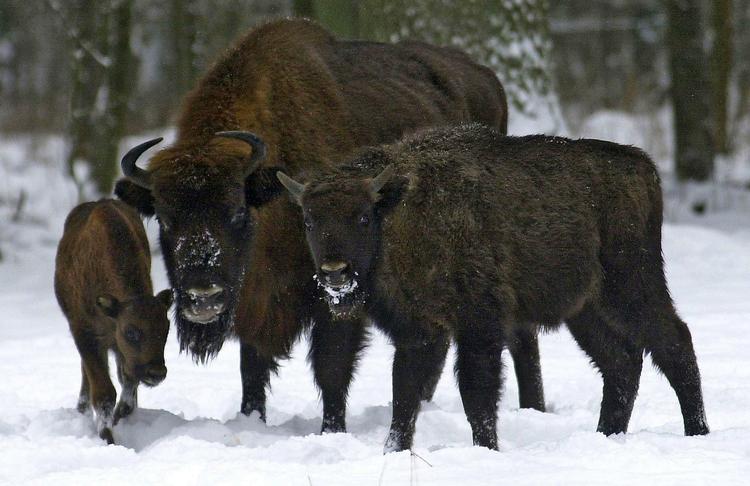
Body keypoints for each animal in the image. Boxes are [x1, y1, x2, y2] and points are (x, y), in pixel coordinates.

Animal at [277, 123, 709, 451]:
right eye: (310, 221)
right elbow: (405, 395)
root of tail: (642, 167)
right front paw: (394, 452)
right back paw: (606, 436)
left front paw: (486, 449)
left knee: (674, 342)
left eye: (363, 218)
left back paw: (697, 433)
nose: (334, 273)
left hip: (632, 285)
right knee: (621, 361)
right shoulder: (418, 332)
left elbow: (477, 393)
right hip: (584, 311)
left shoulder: (478, 325)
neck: (399, 212)